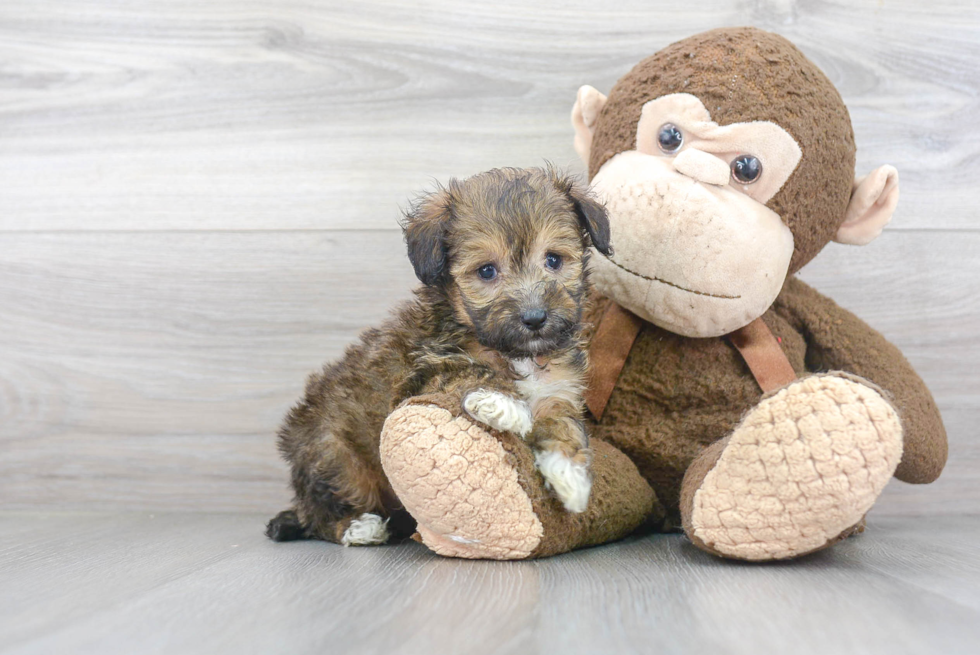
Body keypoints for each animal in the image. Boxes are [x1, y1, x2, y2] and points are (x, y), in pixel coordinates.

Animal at [264, 167, 608, 544]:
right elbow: (467, 370)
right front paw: (502, 404)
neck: (518, 353)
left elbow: (563, 422)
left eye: (553, 260)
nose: (534, 318)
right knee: (322, 512)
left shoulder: (558, 390)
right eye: (487, 271)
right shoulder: (421, 372)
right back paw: (359, 526)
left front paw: (570, 474)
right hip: (335, 455)